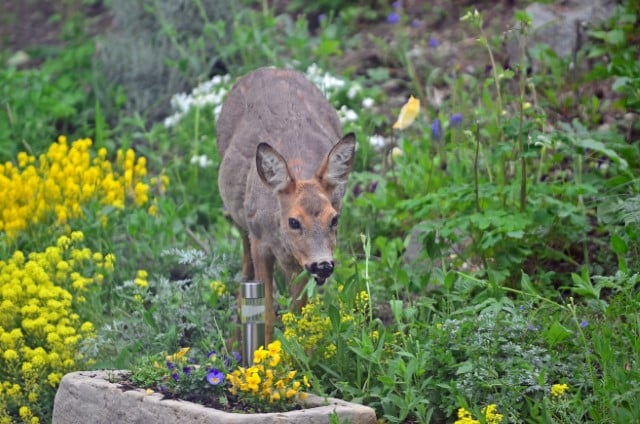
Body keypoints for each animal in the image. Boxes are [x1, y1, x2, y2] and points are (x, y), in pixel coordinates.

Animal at [215, 67, 356, 344]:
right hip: (241, 217)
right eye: (294, 221)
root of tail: (269, 68)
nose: (323, 265)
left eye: (334, 218)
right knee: (244, 257)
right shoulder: (261, 242)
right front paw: (264, 349)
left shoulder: (301, 262)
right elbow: (267, 311)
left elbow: (299, 310)